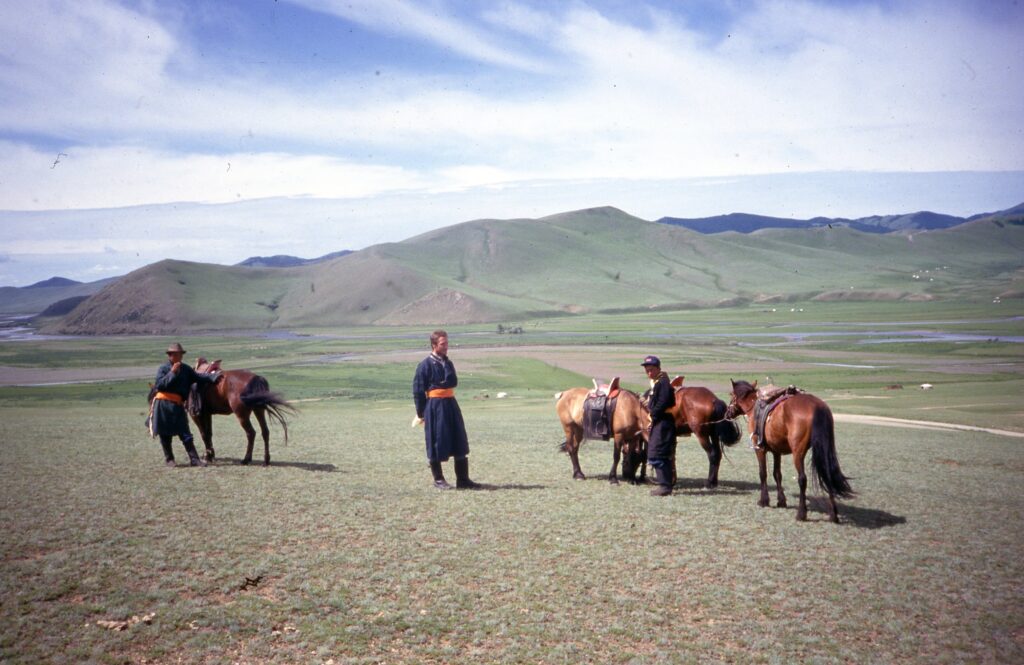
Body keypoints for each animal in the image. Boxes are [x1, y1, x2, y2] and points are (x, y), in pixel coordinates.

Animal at [724, 377, 851, 520]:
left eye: (731, 395)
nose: (727, 413)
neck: (754, 406)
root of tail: (817, 406)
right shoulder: (776, 451)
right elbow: (777, 474)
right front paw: (781, 501)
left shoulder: (760, 450)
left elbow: (763, 473)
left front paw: (764, 500)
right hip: (825, 450)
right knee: (827, 476)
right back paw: (833, 514)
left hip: (798, 453)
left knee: (802, 479)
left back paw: (801, 513)